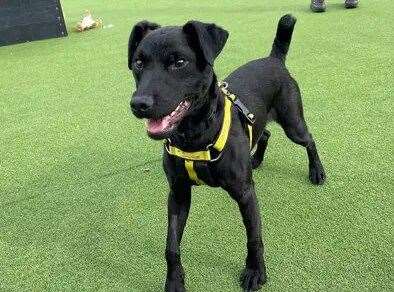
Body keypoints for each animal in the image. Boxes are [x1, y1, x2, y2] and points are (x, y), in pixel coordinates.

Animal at [127, 14, 324, 292]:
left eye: (179, 62)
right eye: (138, 63)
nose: (139, 104)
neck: (195, 136)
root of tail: (273, 59)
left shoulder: (245, 193)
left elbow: (254, 236)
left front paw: (255, 271)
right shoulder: (178, 194)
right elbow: (171, 245)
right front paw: (174, 280)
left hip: (293, 123)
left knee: (309, 140)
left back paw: (317, 171)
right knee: (264, 133)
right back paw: (256, 159)